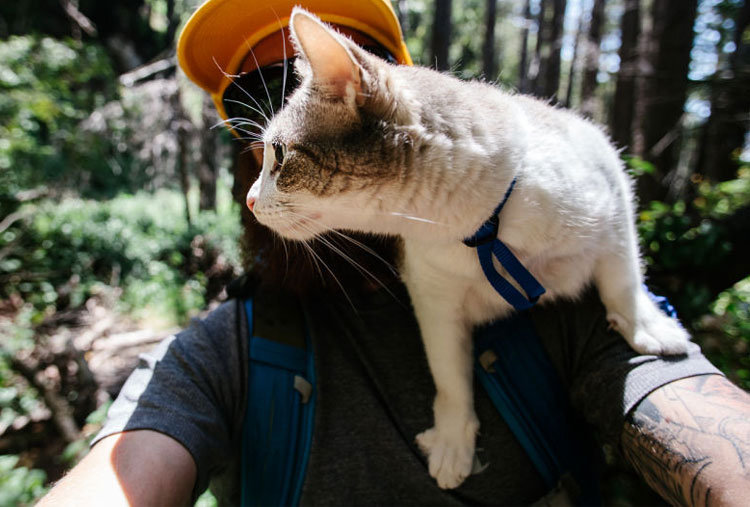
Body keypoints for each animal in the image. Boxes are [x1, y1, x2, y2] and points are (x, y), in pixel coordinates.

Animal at [248, 7, 692, 490]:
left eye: (278, 155)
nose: (249, 200)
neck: (483, 233)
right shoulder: (434, 299)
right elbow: (449, 375)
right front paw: (453, 441)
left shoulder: (611, 184)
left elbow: (622, 276)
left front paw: (646, 325)